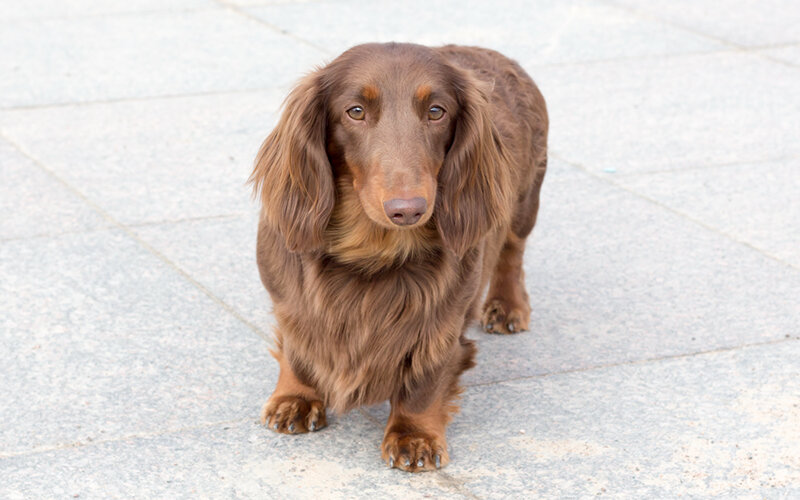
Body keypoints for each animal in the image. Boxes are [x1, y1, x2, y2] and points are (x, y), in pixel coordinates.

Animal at [250, 44, 552, 472]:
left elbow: (424, 383)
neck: (372, 253)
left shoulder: (441, 323)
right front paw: (296, 397)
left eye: (437, 111)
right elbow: (298, 347)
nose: (408, 210)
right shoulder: (291, 302)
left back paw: (507, 306)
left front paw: (414, 435)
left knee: (512, 250)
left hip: (524, 201)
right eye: (355, 111)